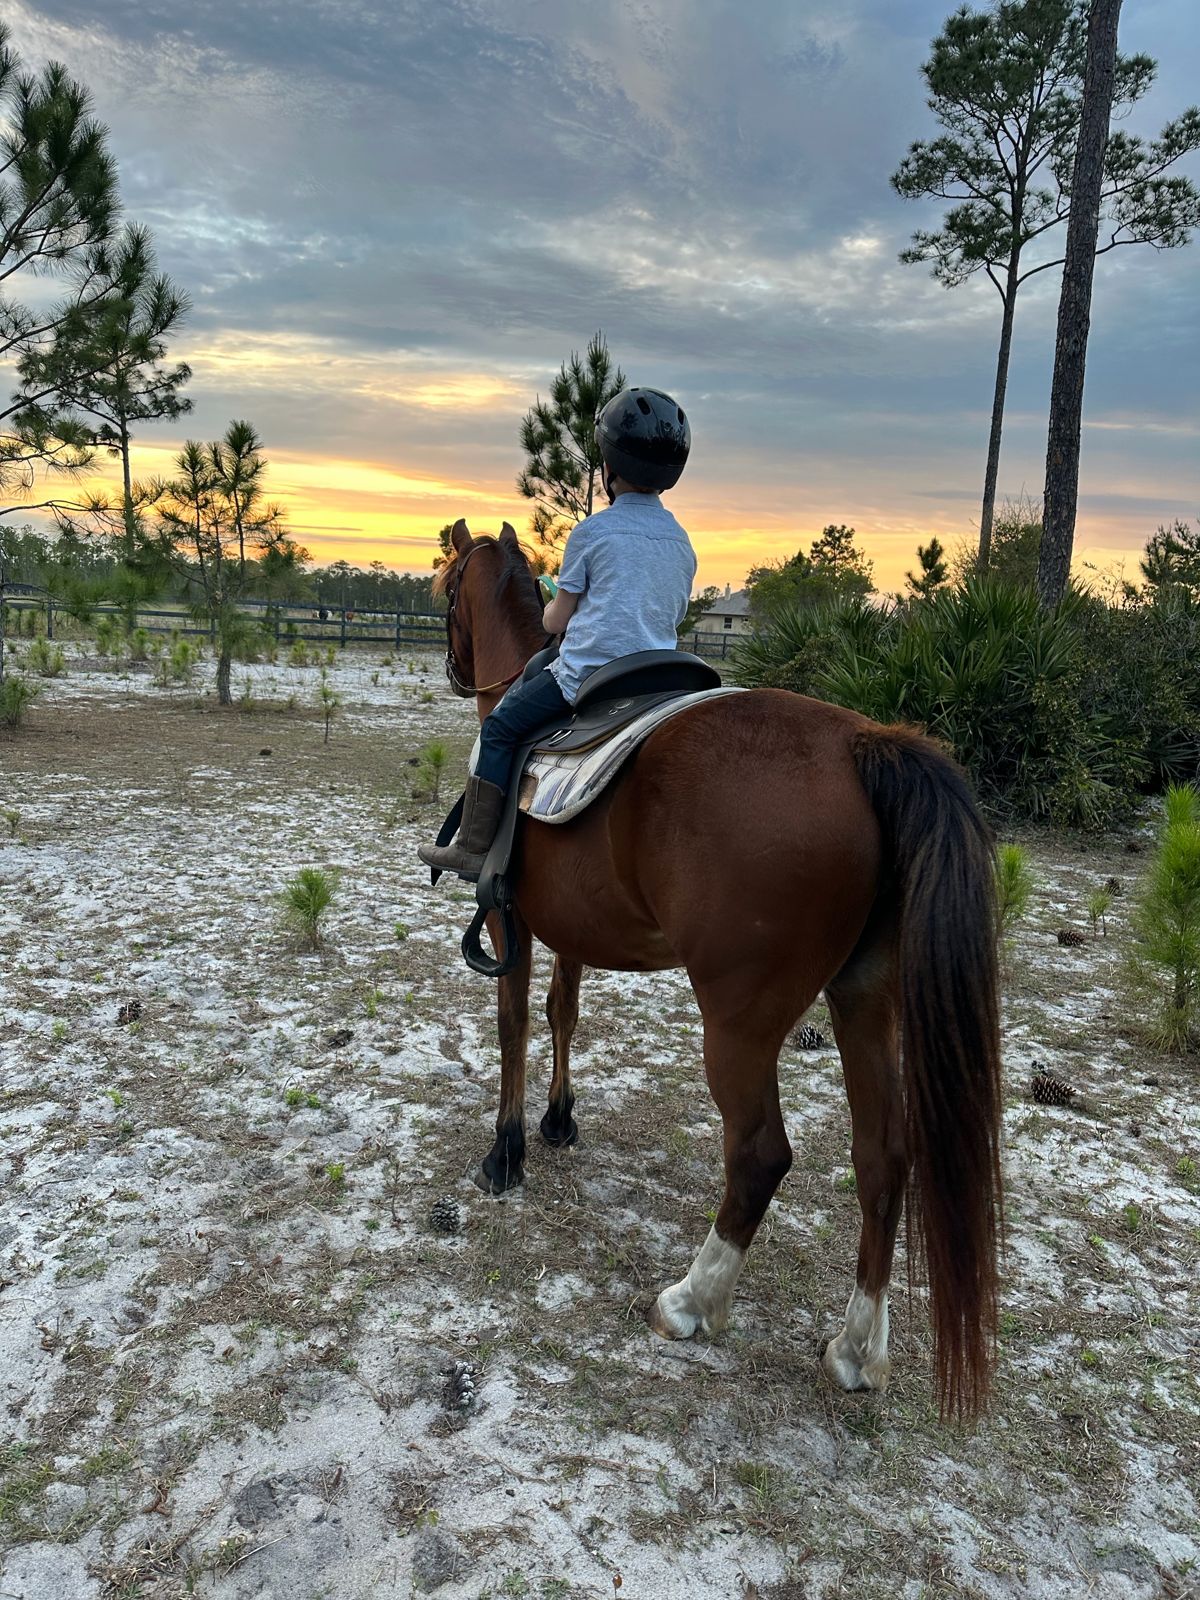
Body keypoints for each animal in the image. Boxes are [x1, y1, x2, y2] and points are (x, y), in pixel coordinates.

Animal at [432, 518, 1003, 1416]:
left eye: (448, 585)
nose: (456, 669)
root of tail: (862, 745)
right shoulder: (569, 932)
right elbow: (564, 1013)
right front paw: (558, 1121)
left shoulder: (508, 921)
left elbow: (514, 1022)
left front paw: (508, 1151)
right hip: (864, 999)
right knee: (883, 1157)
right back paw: (856, 1350)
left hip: (739, 1022)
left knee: (761, 1154)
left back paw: (692, 1301)